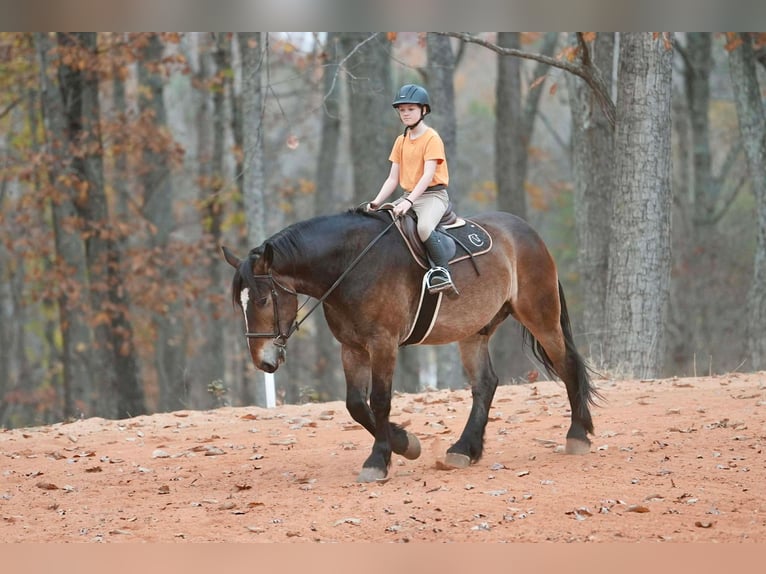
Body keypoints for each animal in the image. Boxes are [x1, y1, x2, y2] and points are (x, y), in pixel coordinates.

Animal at [222, 207, 599, 482]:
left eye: (262, 300)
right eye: (239, 303)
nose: (264, 361)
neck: (350, 264)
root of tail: (528, 232)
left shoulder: (382, 344)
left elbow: (379, 401)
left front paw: (378, 460)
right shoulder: (352, 348)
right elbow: (356, 405)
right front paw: (405, 444)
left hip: (540, 315)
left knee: (567, 366)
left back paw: (577, 435)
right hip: (474, 331)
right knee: (485, 384)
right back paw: (465, 449)